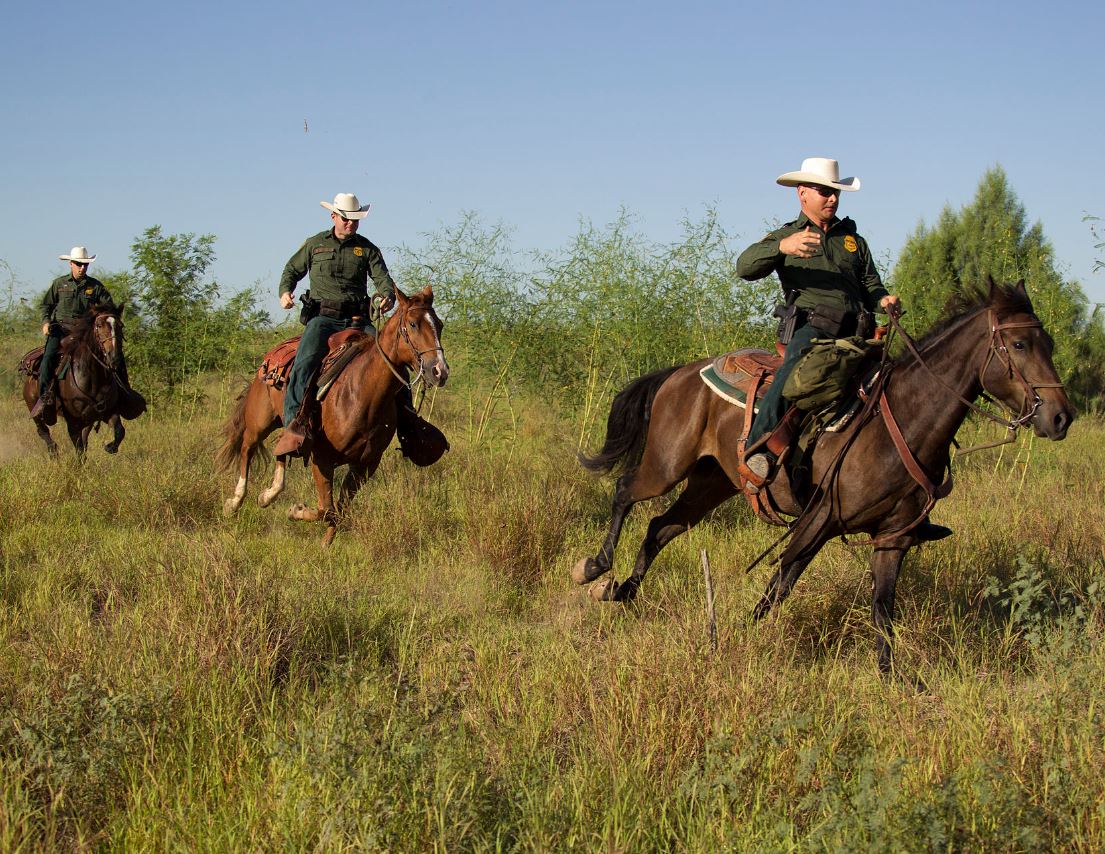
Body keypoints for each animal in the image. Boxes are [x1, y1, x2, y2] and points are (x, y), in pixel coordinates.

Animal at [21, 304, 129, 457]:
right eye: (99, 325)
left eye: (120, 325)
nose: (114, 358)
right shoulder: (73, 420)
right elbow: (79, 448)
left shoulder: (109, 411)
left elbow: (119, 431)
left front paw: (110, 447)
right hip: (34, 408)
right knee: (43, 431)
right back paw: (53, 453)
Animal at [219, 282, 448, 543]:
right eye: (412, 324)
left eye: (439, 324)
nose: (440, 371)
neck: (362, 393)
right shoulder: (322, 459)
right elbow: (325, 509)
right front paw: (296, 510)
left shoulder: (364, 465)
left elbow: (338, 511)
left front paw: (326, 544)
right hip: (260, 421)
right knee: (247, 448)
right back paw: (234, 502)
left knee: (282, 448)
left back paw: (269, 493)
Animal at [574, 279, 1074, 671]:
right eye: (1019, 345)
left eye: (1048, 344)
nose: (1060, 417)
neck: (902, 421)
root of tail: (683, 371)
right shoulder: (817, 521)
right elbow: (779, 586)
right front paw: (737, 640)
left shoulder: (892, 538)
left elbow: (883, 610)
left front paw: (897, 681)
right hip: (666, 465)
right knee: (625, 492)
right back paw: (595, 568)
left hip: (710, 483)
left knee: (661, 526)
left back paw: (621, 592)